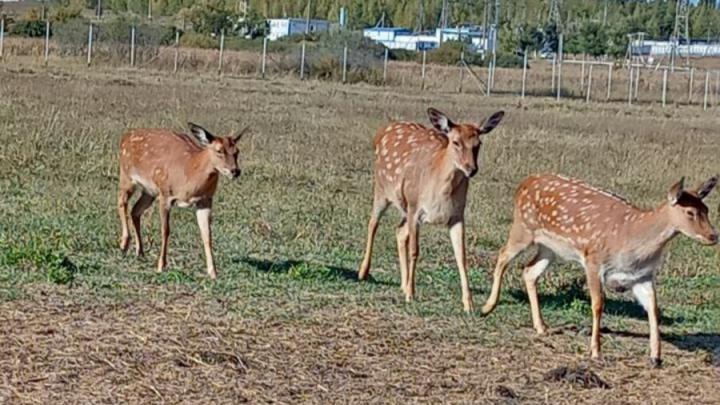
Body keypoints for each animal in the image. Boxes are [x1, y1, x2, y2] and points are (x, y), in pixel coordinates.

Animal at [117, 123, 247, 279]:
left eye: (237, 151)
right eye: (219, 150)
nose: (235, 171)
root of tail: (125, 137)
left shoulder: (205, 201)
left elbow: (207, 234)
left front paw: (213, 272)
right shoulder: (165, 194)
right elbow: (165, 230)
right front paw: (161, 266)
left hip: (149, 191)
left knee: (135, 210)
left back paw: (140, 252)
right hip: (126, 175)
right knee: (121, 202)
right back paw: (124, 244)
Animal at [358, 108, 505, 312]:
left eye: (478, 144)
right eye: (455, 142)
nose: (471, 169)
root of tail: (382, 131)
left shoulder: (457, 215)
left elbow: (461, 256)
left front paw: (469, 304)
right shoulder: (415, 207)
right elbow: (415, 251)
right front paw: (411, 295)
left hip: (404, 207)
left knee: (399, 231)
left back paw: (403, 284)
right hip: (382, 189)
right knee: (373, 223)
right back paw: (364, 272)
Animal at [481, 174, 718, 367]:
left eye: (706, 210)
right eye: (690, 212)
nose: (713, 236)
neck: (633, 245)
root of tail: (524, 182)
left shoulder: (642, 276)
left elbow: (653, 308)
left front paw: (656, 356)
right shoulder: (593, 260)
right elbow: (597, 304)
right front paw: (596, 351)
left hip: (551, 248)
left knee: (529, 271)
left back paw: (541, 326)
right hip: (523, 228)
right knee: (502, 255)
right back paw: (487, 307)